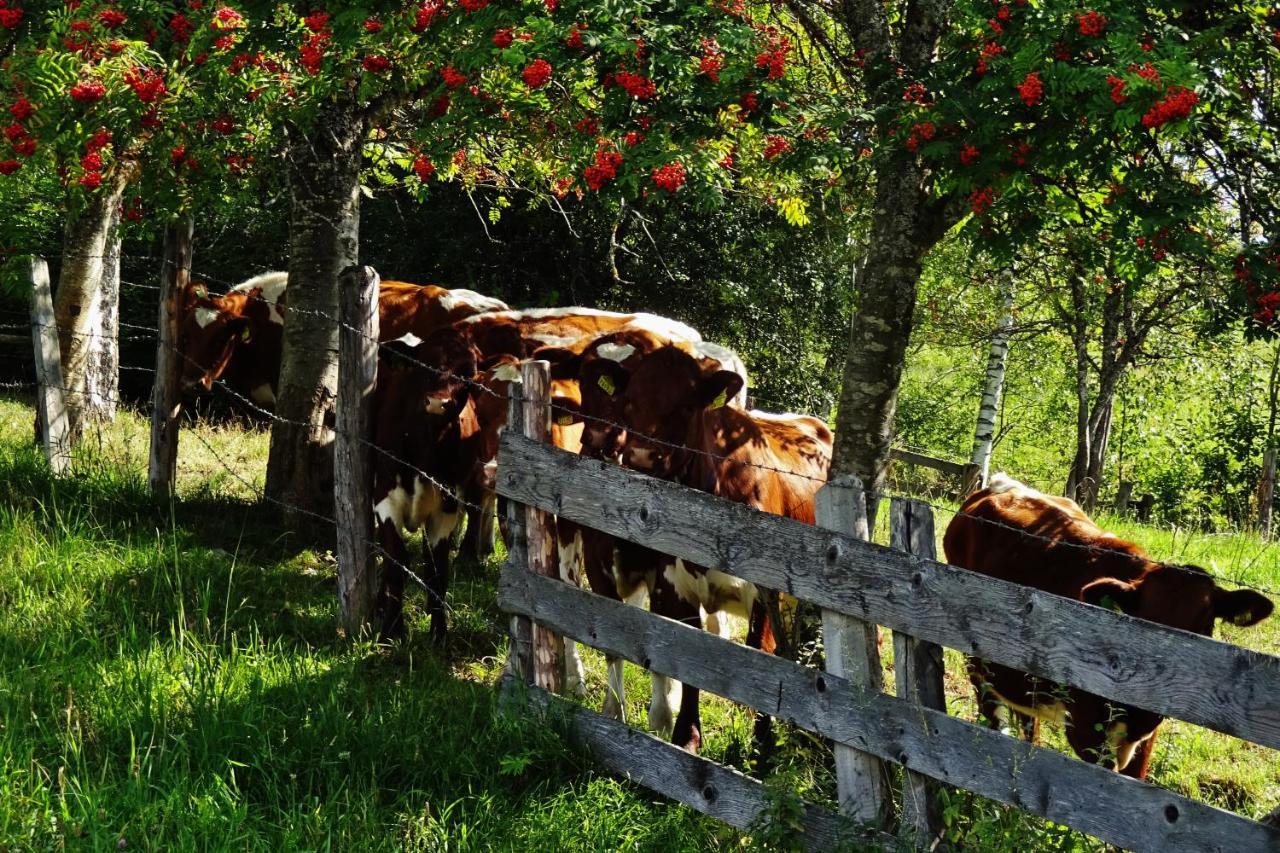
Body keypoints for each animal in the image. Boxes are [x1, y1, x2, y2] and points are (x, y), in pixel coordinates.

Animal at [563, 340, 829, 753]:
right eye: (629, 401)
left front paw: (762, 745)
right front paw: (684, 736)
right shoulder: (672, 586)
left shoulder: (764, 597)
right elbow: (684, 659)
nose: (642, 455)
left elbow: (762, 658)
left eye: (687, 406)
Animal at [942, 471, 1269, 778]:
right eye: (1145, 620)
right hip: (976, 660)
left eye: (1203, 622)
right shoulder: (1085, 728)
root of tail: (1000, 485)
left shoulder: (1148, 735)